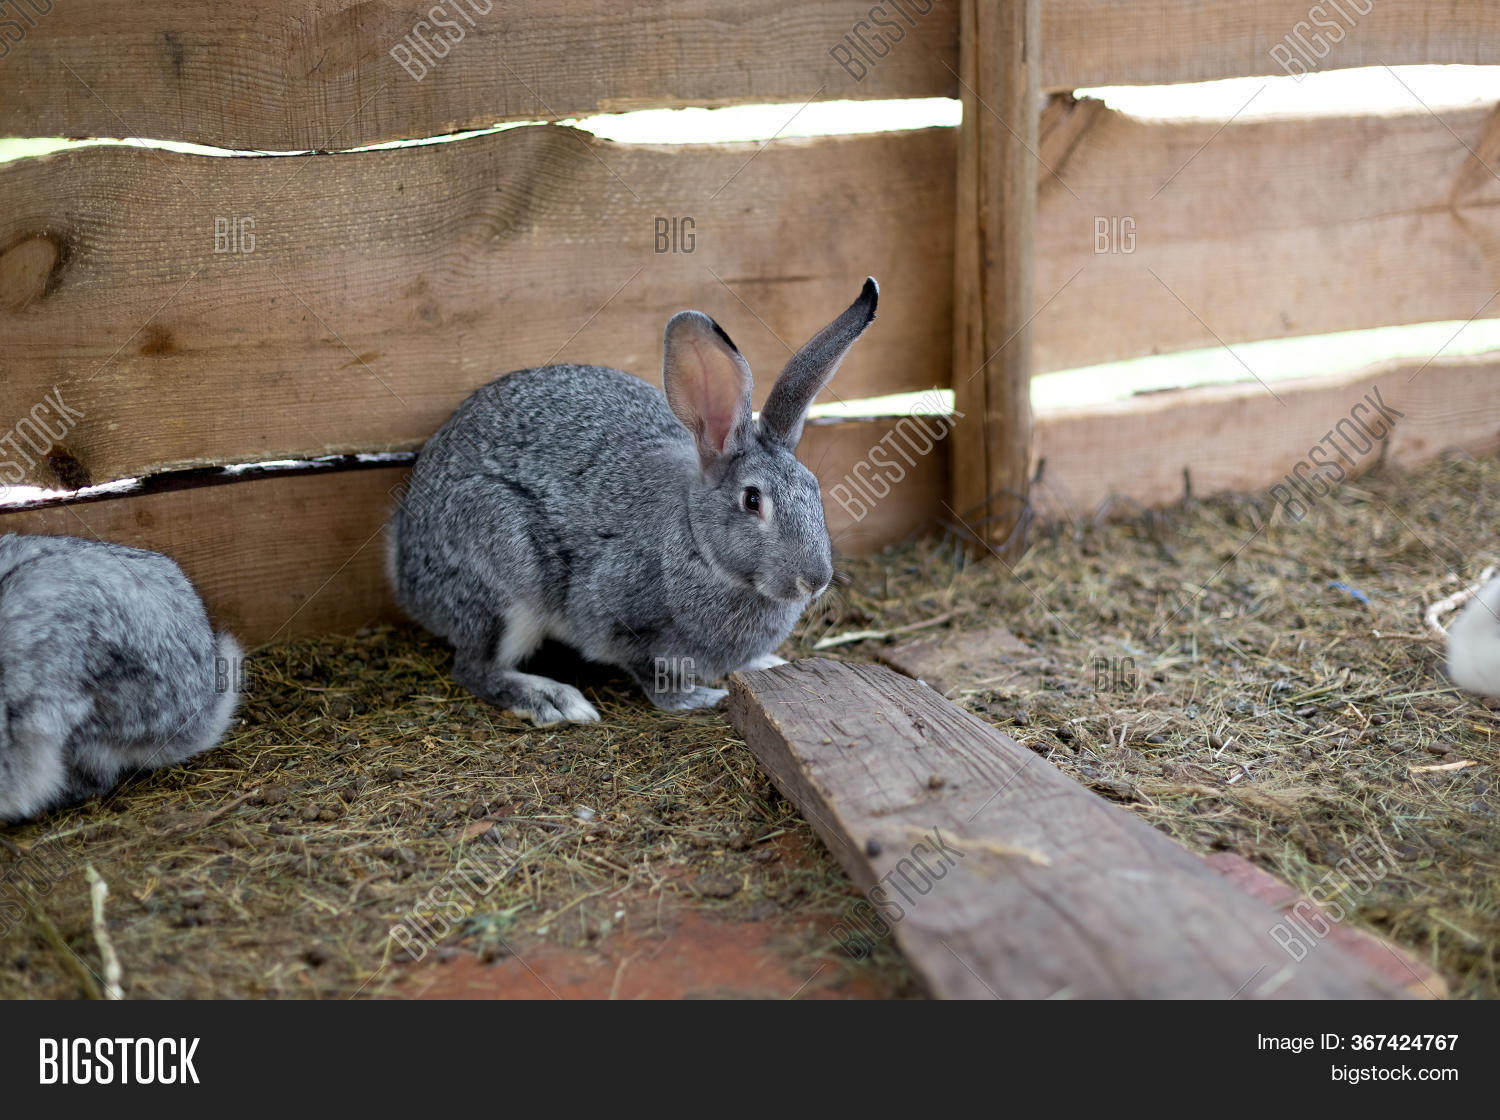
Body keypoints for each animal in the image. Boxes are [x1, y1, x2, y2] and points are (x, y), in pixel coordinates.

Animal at [388, 277, 878, 725]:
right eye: (753, 500)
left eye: (814, 488)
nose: (814, 580)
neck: (695, 540)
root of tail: (405, 568)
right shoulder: (614, 619)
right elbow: (648, 671)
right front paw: (696, 698)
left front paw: (766, 662)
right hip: (501, 570)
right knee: (474, 667)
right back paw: (551, 699)